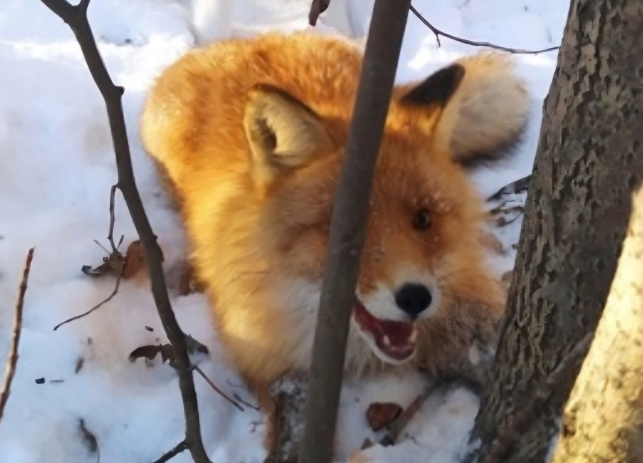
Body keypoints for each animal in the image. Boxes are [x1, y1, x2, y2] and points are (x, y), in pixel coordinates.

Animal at [140, 30, 528, 447]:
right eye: (347, 229)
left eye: (423, 219)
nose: (415, 298)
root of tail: (243, 39)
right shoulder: (278, 360)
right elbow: (293, 438)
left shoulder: (461, 304)